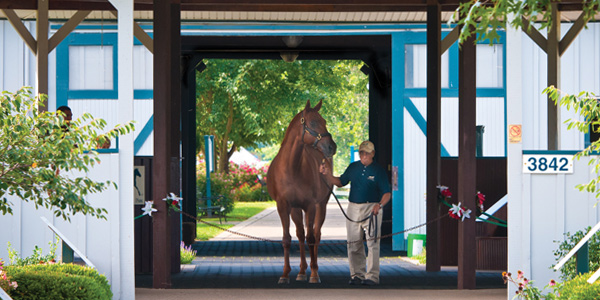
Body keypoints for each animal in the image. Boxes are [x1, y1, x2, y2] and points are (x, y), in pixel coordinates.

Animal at [268, 99, 338, 284]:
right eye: (312, 123)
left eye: (325, 121)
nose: (331, 147)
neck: (292, 168)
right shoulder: (283, 206)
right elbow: (287, 239)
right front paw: (285, 274)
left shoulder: (310, 206)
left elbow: (311, 238)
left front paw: (314, 274)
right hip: (295, 209)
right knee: (300, 235)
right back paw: (301, 271)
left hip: (321, 206)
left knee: (316, 234)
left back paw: (313, 270)